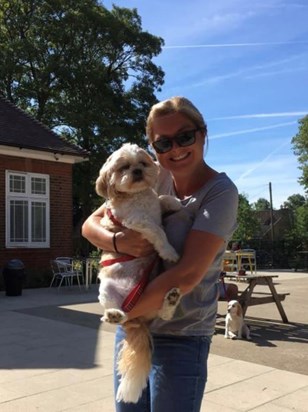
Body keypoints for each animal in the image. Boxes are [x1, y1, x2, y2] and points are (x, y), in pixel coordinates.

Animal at [96, 142, 183, 402]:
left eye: (142, 163)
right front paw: (169, 250)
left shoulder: (154, 206)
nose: (136, 171)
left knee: (164, 314)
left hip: (156, 281)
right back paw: (114, 314)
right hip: (107, 290)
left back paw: (171, 299)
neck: (138, 196)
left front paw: (175, 202)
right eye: (123, 167)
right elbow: (158, 230)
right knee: (120, 314)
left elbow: (162, 198)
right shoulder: (138, 222)